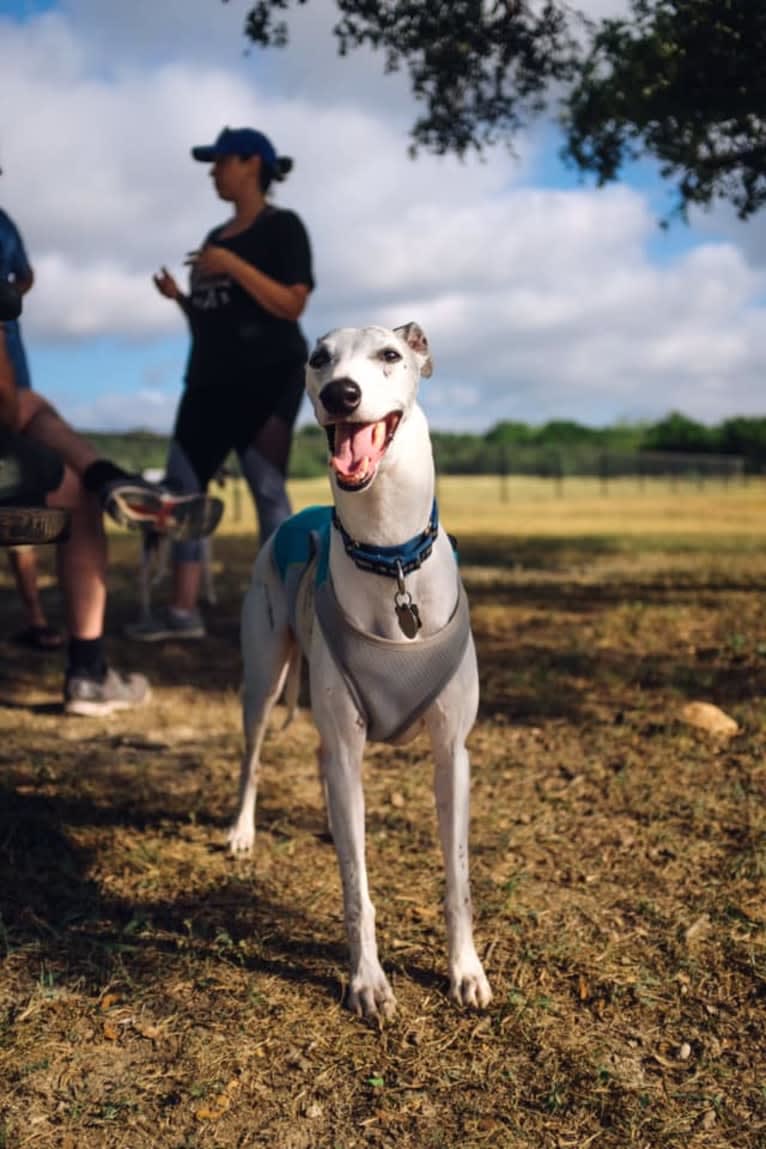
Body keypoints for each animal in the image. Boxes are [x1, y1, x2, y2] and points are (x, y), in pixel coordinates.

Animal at [230, 321, 491, 1015]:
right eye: (318, 359)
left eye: (391, 354)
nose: (341, 395)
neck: (390, 556)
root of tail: (293, 518)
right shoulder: (347, 747)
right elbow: (356, 887)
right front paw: (367, 981)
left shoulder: (452, 752)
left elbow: (457, 878)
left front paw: (466, 970)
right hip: (263, 682)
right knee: (254, 758)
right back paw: (240, 831)